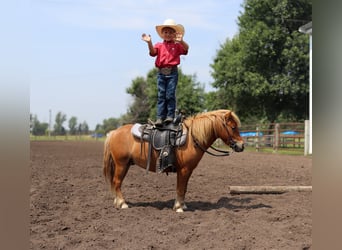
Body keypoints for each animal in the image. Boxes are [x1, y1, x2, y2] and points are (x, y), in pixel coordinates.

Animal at [103, 108, 244, 212]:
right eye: (233, 127)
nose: (241, 145)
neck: (192, 138)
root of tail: (113, 133)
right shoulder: (184, 170)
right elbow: (180, 188)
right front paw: (178, 208)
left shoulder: (188, 171)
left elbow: (184, 188)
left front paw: (182, 205)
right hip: (121, 164)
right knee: (117, 182)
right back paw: (122, 204)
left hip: (124, 164)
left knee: (116, 183)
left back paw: (117, 202)